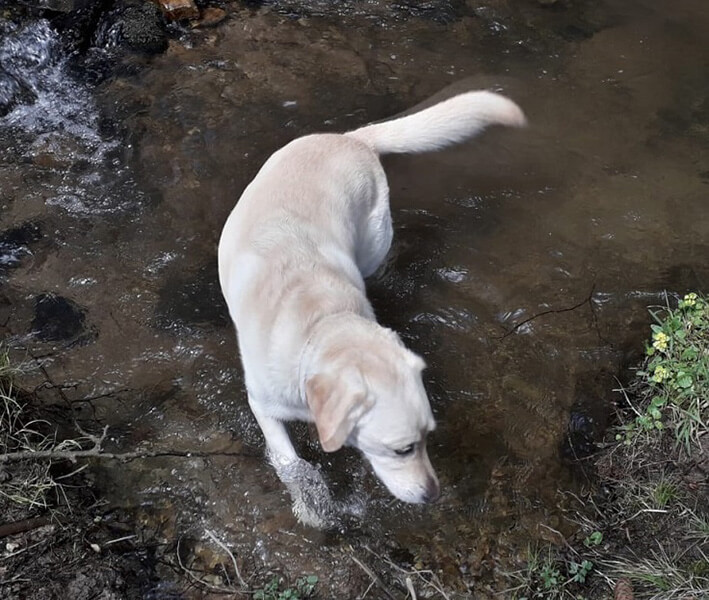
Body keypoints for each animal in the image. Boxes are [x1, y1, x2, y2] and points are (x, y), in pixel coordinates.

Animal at [218, 90, 525, 524]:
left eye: (429, 437)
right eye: (402, 449)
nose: (433, 495)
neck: (321, 323)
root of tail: (352, 138)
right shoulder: (262, 403)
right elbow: (288, 460)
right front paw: (309, 502)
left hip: (373, 238)